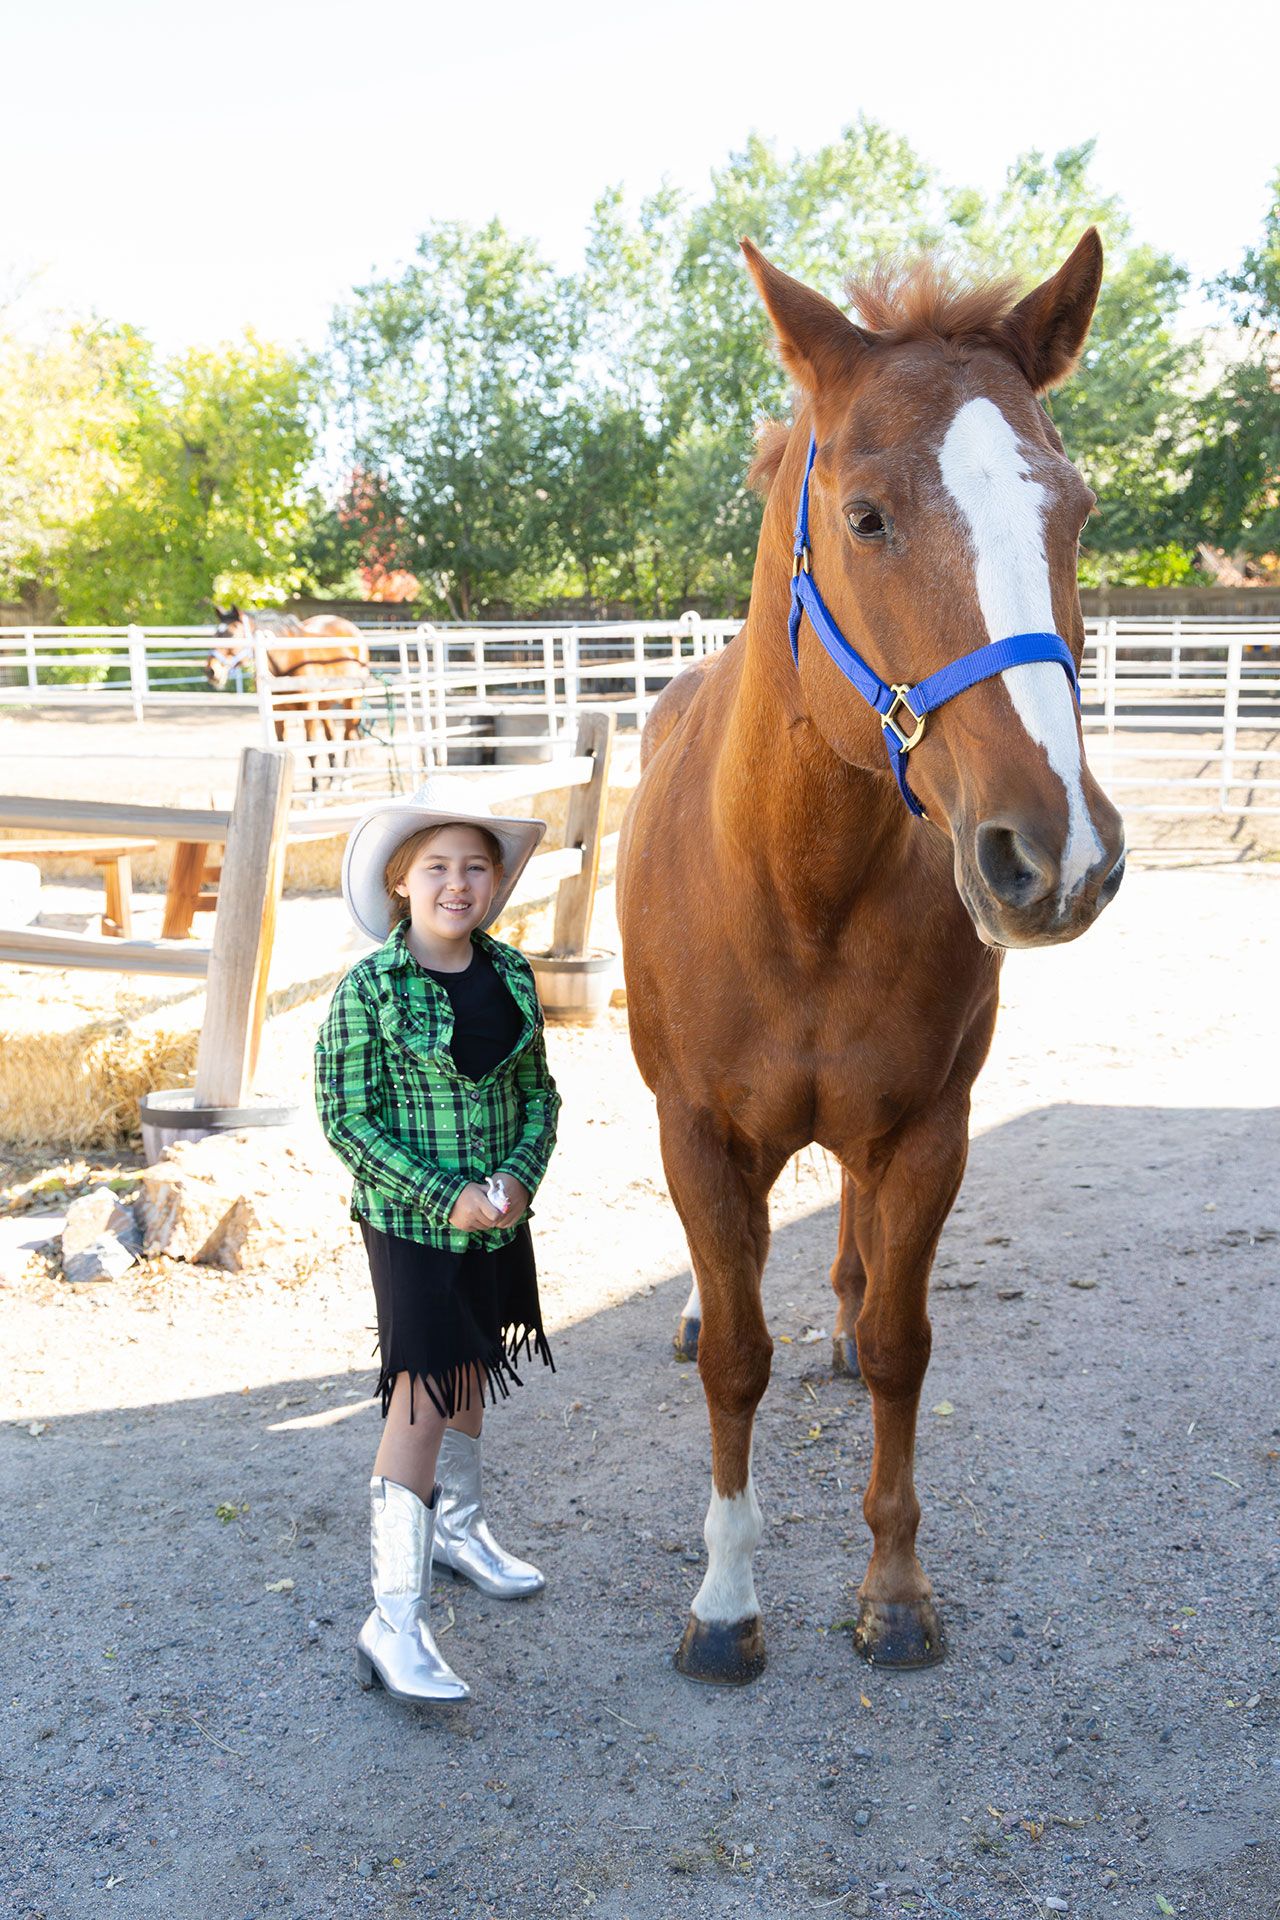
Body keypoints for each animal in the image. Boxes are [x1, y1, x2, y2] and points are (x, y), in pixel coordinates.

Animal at [207, 608, 372, 787]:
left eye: (232, 634)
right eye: (215, 634)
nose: (211, 670)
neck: (287, 659)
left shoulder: (309, 708)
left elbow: (311, 748)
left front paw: (315, 788)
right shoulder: (278, 711)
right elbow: (283, 746)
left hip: (352, 699)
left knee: (349, 735)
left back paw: (345, 779)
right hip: (325, 704)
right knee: (331, 736)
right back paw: (334, 778)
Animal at [617, 229, 1126, 1686]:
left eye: (1074, 515)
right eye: (866, 519)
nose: (1054, 853)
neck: (799, 888)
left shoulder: (926, 1129)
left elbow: (903, 1346)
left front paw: (894, 1589)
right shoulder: (697, 1132)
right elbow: (736, 1357)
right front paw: (725, 1599)